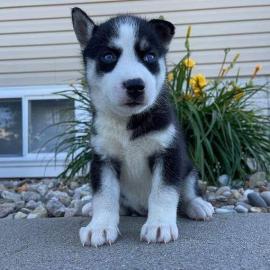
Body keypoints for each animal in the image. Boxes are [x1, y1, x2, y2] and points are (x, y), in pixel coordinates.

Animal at [71, 6, 213, 247]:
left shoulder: (169, 153)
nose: (135, 85)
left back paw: (197, 205)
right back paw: (92, 207)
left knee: (187, 193)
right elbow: (104, 195)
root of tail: (139, 209)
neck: (128, 122)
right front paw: (100, 226)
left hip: (188, 168)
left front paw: (160, 225)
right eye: (108, 56)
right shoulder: (103, 158)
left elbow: (163, 192)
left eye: (149, 57)